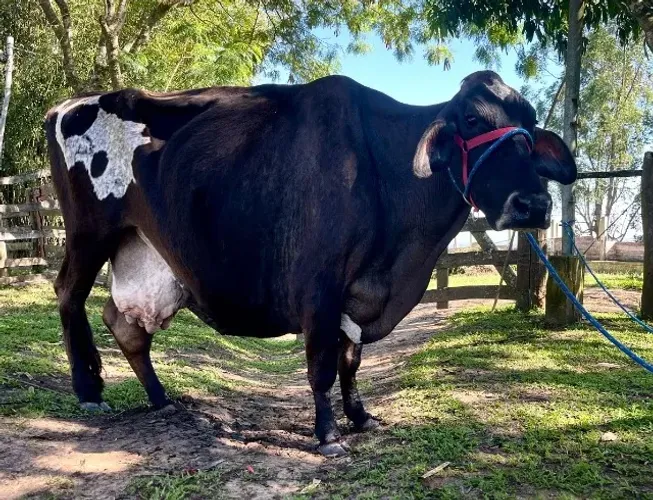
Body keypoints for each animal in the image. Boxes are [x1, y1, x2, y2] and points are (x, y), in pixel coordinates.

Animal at [45, 70, 576, 456]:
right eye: (470, 120)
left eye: (529, 123)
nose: (533, 204)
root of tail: (66, 105)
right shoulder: (321, 287)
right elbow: (321, 364)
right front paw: (328, 435)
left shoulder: (357, 293)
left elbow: (350, 360)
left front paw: (360, 417)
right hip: (88, 235)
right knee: (68, 294)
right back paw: (88, 389)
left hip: (143, 254)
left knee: (124, 323)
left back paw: (162, 400)